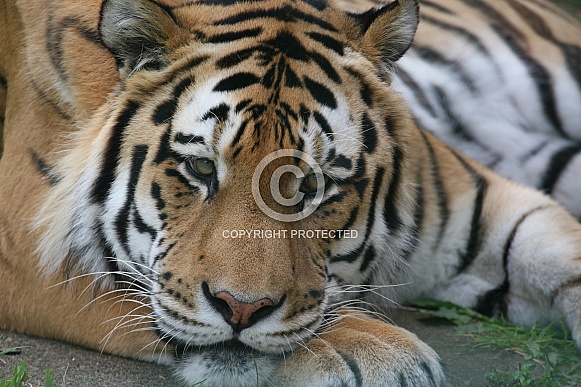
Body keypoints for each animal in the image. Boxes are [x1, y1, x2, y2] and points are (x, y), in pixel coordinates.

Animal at [2, 0, 580, 386]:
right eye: (200, 167)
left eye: (313, 185)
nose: (239, 309)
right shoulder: (30, 247)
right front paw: (376, 352)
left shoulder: (487, 204)